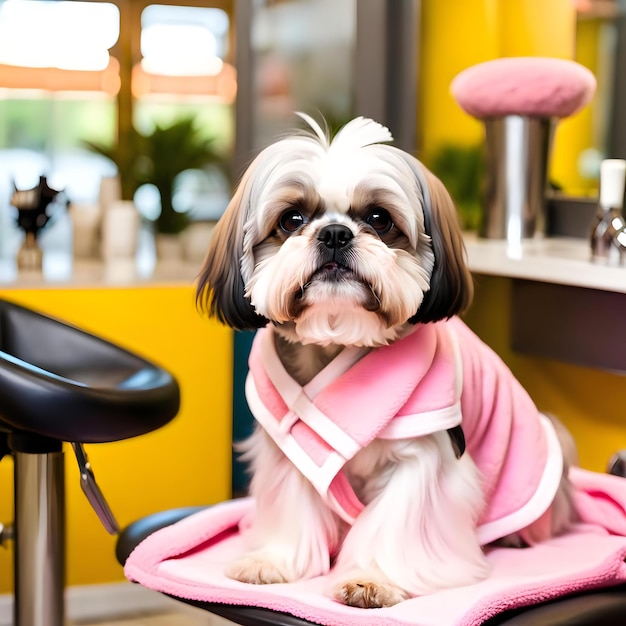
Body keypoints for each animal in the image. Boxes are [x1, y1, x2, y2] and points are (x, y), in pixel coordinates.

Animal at [196, 114, 576, 608]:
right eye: (291, 219)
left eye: (379, 218)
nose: (334, 233)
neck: (339, 342)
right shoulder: (289, 446)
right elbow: (292, 505)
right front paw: (274, 561)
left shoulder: (427, 457)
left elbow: (398, 522)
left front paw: (372, 579)